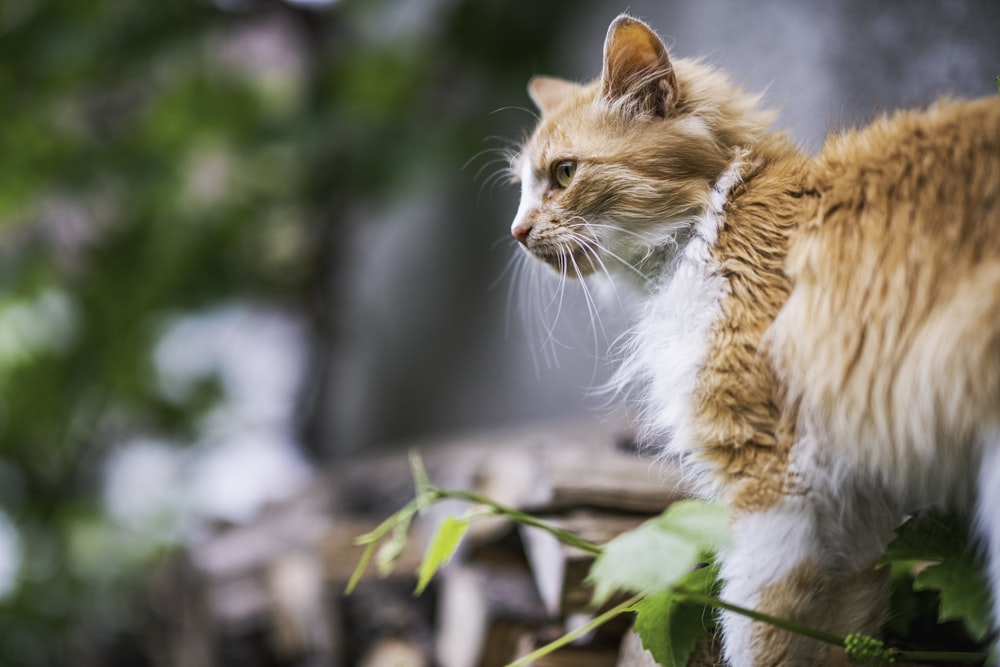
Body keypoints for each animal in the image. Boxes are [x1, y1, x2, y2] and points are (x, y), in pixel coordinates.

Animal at [508, 11, 1000, 667]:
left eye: (564, 173)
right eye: (520, 189)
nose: (516, 231)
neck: (717, 222)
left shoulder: (775, 480)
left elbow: (761, 631)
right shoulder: (855, 514)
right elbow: (836, 634)